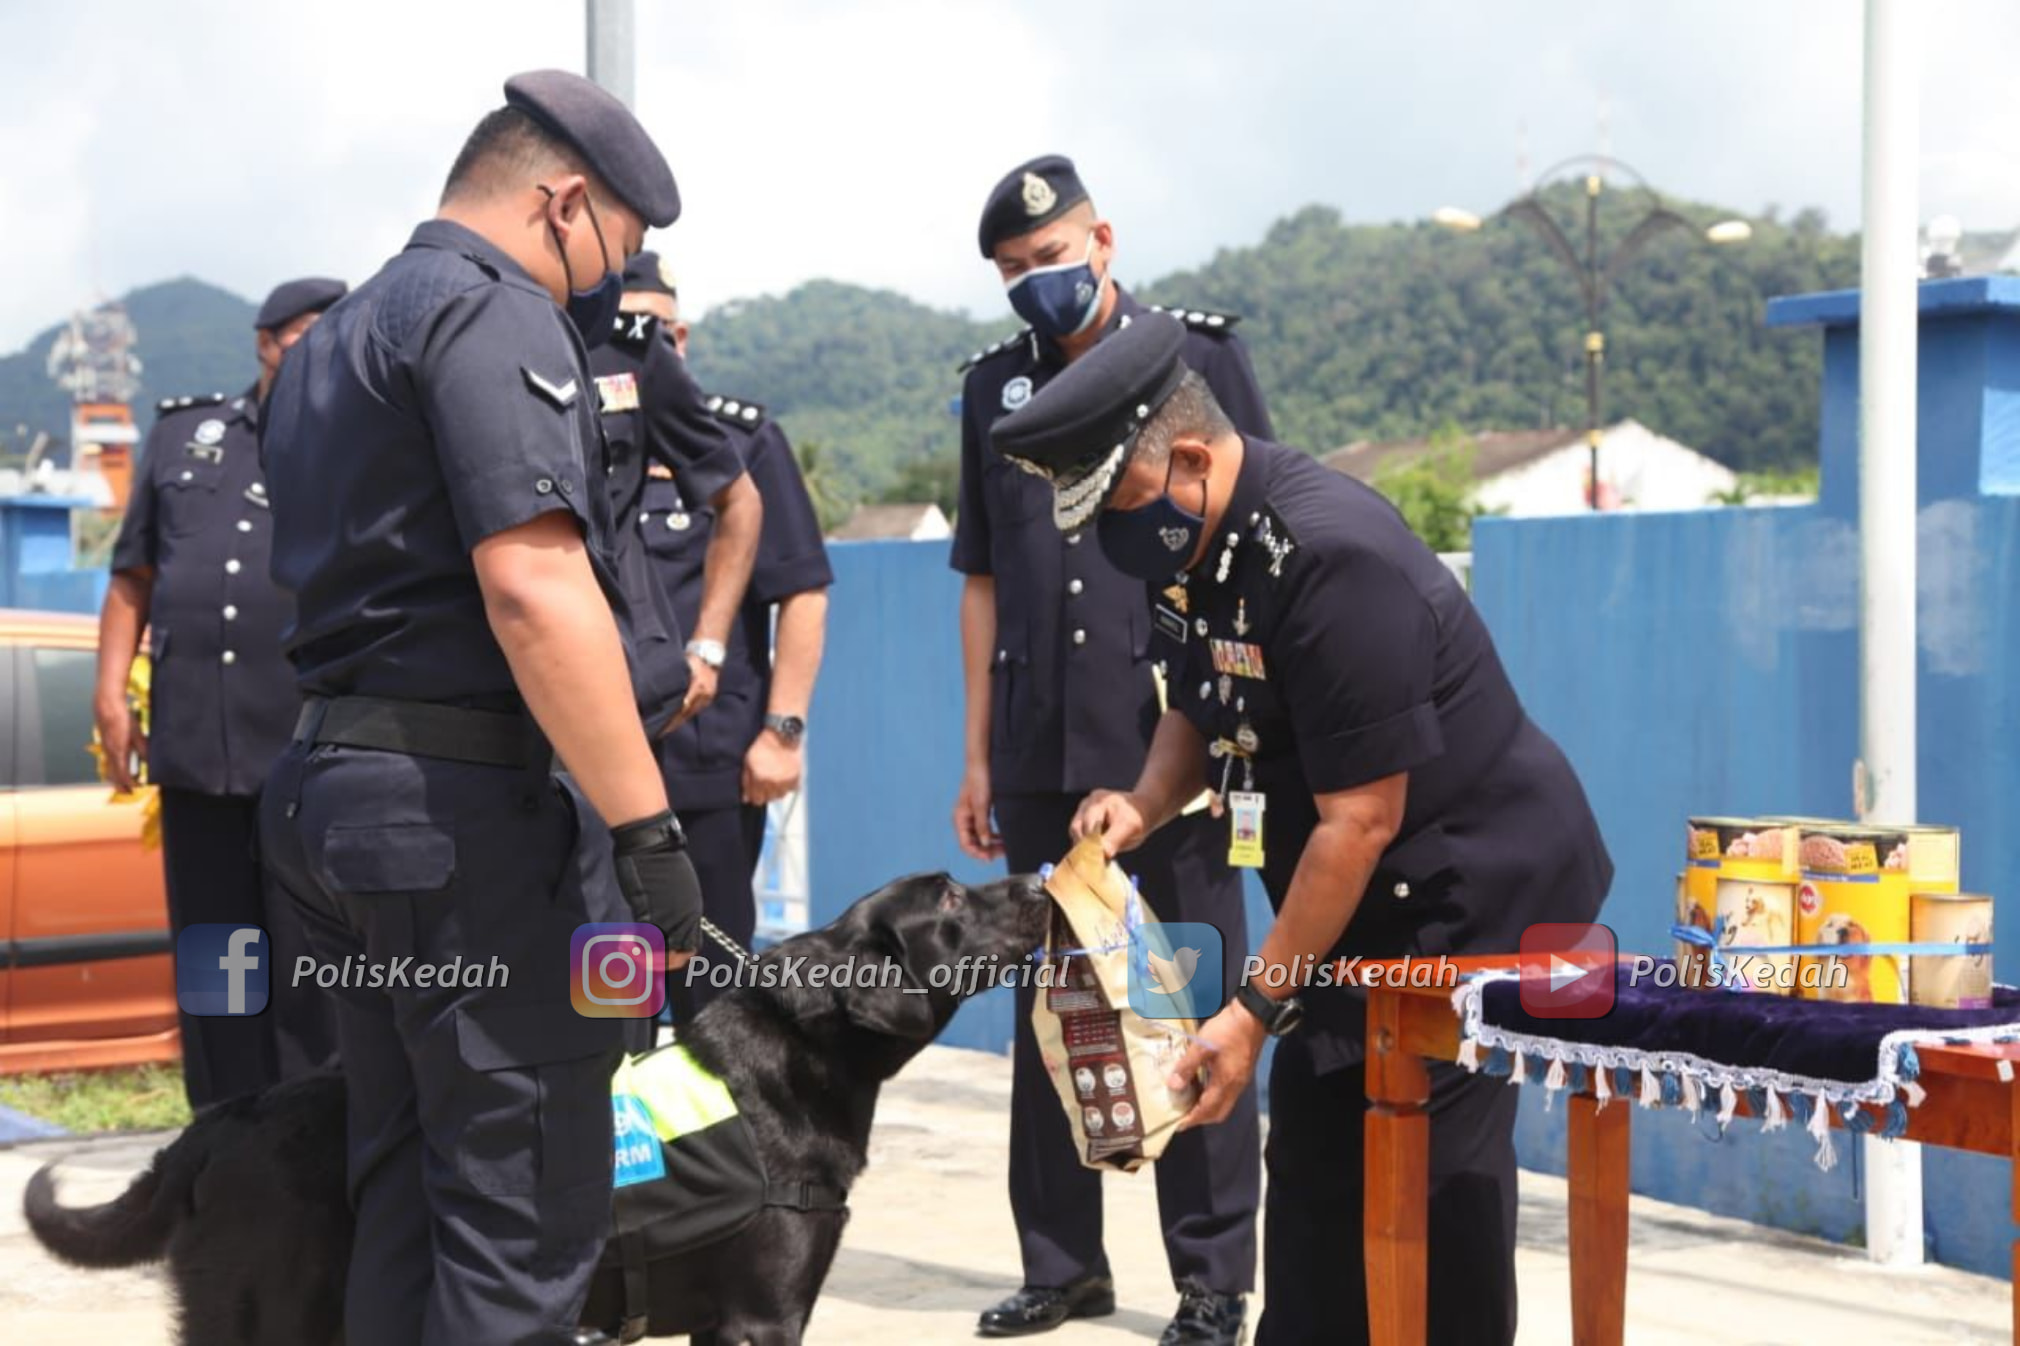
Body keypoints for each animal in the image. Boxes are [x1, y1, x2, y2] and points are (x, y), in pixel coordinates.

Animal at [23, 869, 1050, 1341]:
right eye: (950, 897)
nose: (1035, 881)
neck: (804, 1057)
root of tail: (206, 1129)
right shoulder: (762, 1314)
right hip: (267, 1307)